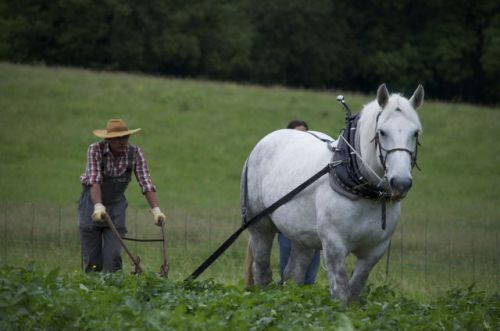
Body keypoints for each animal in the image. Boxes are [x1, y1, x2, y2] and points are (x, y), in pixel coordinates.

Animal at [244, 84, 424, 304]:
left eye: (415, 133)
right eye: (382, 132)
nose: (401, 182)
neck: (365, 191)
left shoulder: (375, 251)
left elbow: (355, 289)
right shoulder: (334, 245)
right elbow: (341, 292)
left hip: (302, 236)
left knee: (294, 274)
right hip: (260, 225)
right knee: (262, 270)